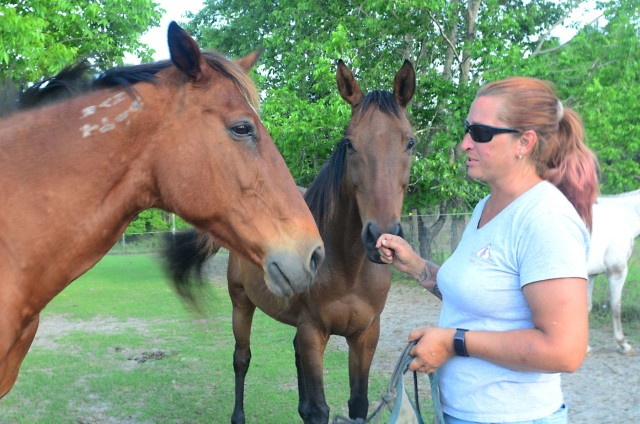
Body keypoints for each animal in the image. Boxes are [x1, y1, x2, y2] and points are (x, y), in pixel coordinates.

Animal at [162, 58, 418, 422]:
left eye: (409, 143)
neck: (348, 268)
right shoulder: (313, 331)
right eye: (349, 143)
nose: (380, 236)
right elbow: (319, 409)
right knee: (241, 359)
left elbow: (357, 404)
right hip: (241, 304)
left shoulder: (366, 334)